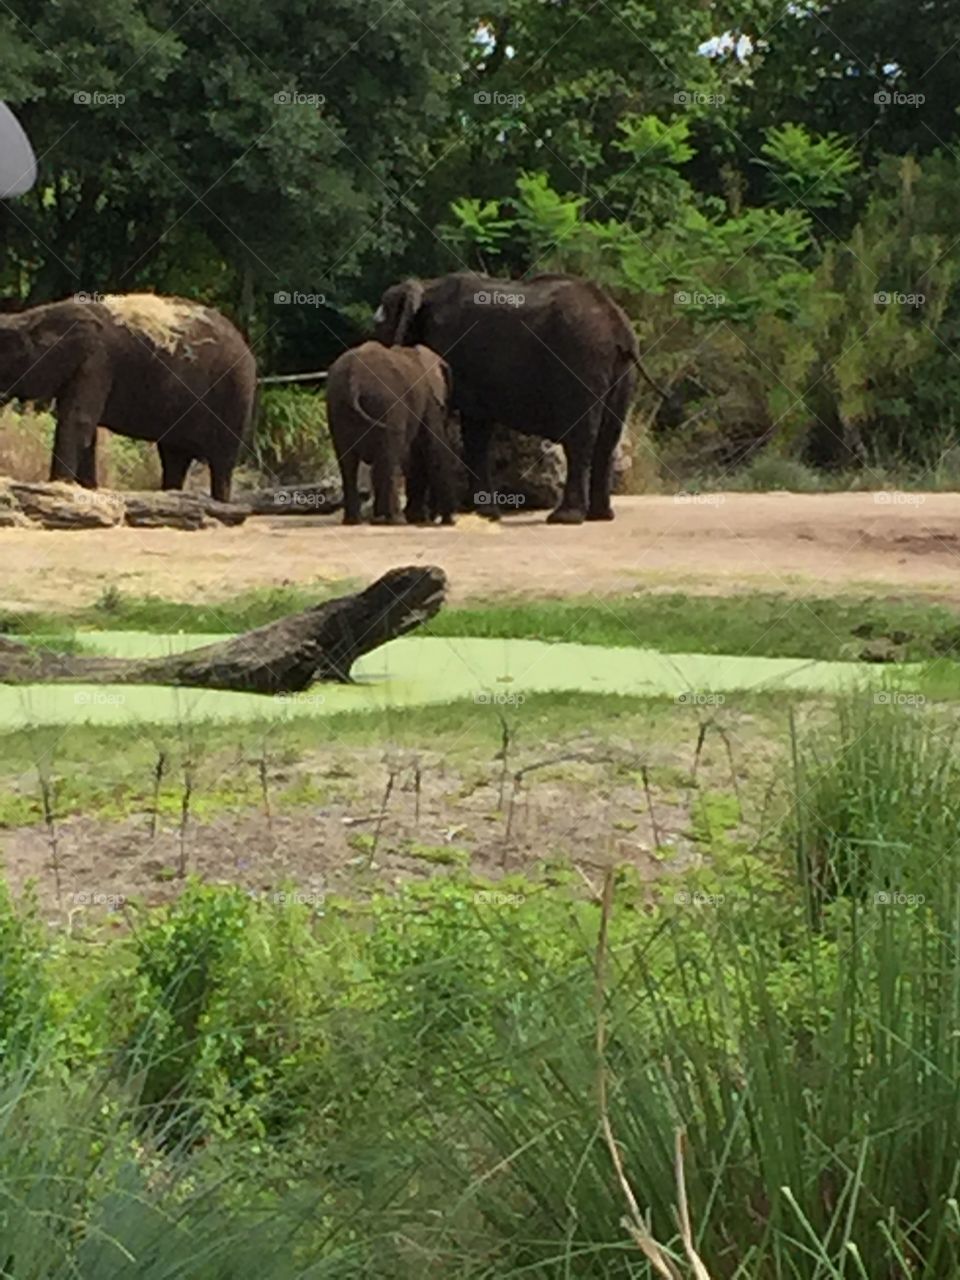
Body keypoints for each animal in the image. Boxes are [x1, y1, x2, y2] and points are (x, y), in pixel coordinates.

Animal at [0, 293, 257, 502]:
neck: (35, 315)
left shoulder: (98, 360)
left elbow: (78, 421)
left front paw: (58, 487)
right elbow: (86, 428)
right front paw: (87, 489)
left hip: (235, 393)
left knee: (221, 462)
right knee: (173, 457)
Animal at [325, 340, 458, 525]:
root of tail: (354, 378)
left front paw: (417, 517)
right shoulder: (429, 400)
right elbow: (434, 448)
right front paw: (446, 520)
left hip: (337, 407)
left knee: (348, 464)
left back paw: (356, 520)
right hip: (386, 404)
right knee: (389, 460)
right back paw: (396, 519)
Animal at [374, 272, 658, 524]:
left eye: (380, 328)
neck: (425, 286)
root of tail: (618, 326)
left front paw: (423, 516)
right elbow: (476, 430)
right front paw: (480, 513)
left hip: (582, 361)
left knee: (580, 438)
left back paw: (564, 518)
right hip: (621, 371)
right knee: (608, 438)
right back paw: (600, 516)